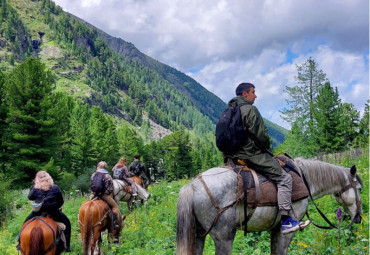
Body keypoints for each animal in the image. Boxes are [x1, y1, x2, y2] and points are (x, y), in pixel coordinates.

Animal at [177, 157, 364, 255]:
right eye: (360, 189)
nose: (358, 218)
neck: (304, 178)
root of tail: (193, 185)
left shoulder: (275, 229)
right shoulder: (287, 230)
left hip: (199, 235)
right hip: (224, 237)